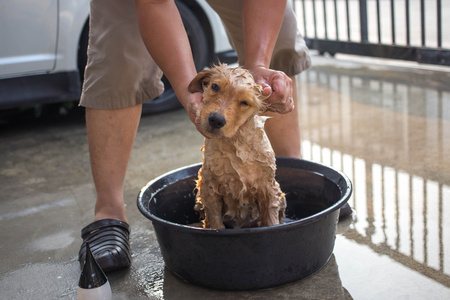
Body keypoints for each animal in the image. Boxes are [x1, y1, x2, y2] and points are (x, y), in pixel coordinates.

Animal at [188, 62, 286, 229]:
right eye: (215, 86)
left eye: (245, 102)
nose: (216, 120)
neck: (235, 143)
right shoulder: (209, 187)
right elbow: (214, 221)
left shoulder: (268, 188)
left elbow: (271, 219)